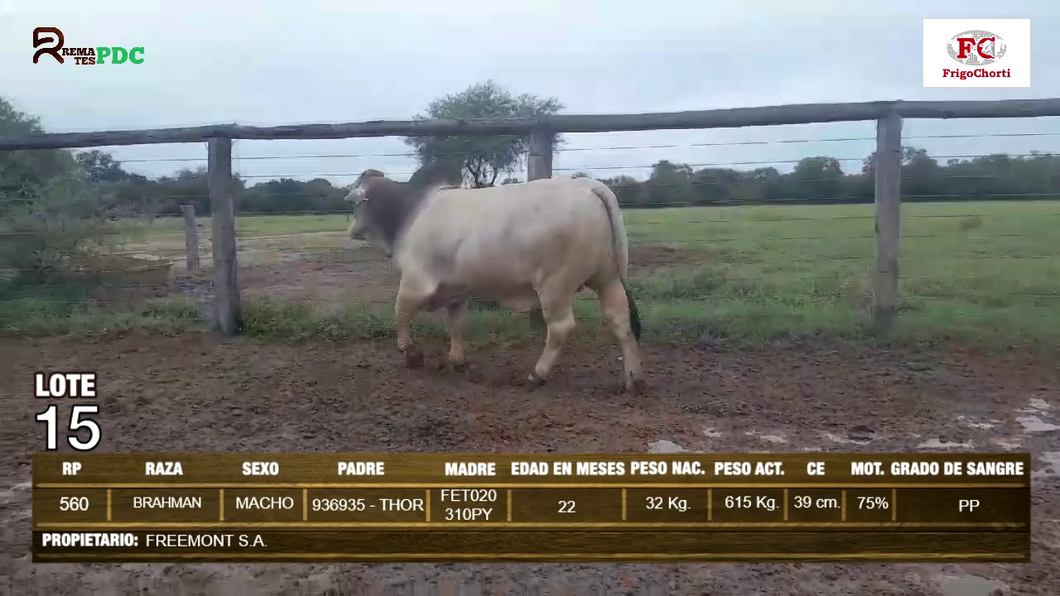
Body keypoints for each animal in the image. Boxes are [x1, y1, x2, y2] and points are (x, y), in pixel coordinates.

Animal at [347, 164, 644, 392]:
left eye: (354, 203)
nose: (351, 230)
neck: (409, 211)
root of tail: (586, 185)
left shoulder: (414, 281)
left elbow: (401, 314)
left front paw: (411, 354)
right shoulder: (456, 291)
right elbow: (454, 325)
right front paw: (457, 360)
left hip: (555, 286)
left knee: (561, 328)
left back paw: (537, 374)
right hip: (607, 278)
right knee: (621, 321)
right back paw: (633, 379)